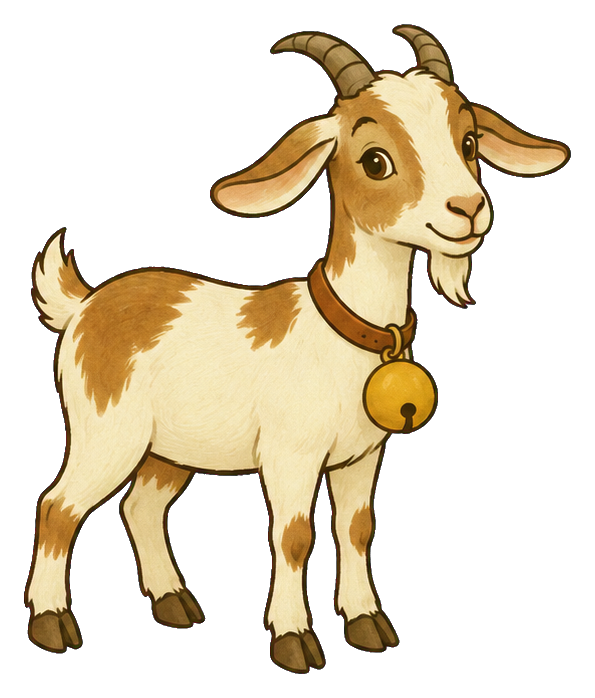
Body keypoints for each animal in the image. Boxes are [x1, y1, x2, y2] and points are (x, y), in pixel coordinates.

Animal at [27, 26, 568, 672]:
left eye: (469, 140)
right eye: (375, 159)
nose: (468, 209)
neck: (342, 335)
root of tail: (86, 304)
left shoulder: (362, 457)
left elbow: (357, 529)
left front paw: (368, 623)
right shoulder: (291, 455)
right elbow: (293, 535)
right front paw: (293, 640)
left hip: (171, 447)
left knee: (143, 507)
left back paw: (174, 603)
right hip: (106, 431)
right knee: (58, 507)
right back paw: (52, 624)